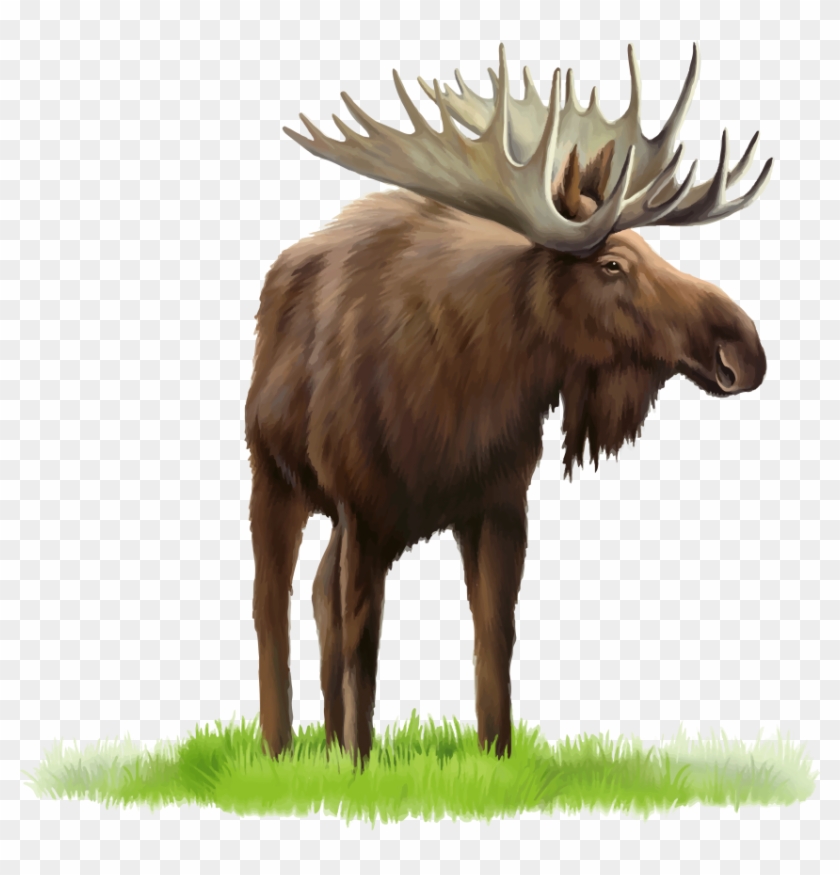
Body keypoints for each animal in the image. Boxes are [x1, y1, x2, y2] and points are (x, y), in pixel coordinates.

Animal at [245, 43, 772, 765]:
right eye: (612, 263)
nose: (744, 349)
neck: (467, 391)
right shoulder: (365, 509)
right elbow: (361, 644)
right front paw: (356, 768)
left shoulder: (497, 503)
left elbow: (495, 639)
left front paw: (494, 756)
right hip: (273, 478)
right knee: (272, 605)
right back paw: (280, 750)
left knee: (321, 594)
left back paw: (320, 743)